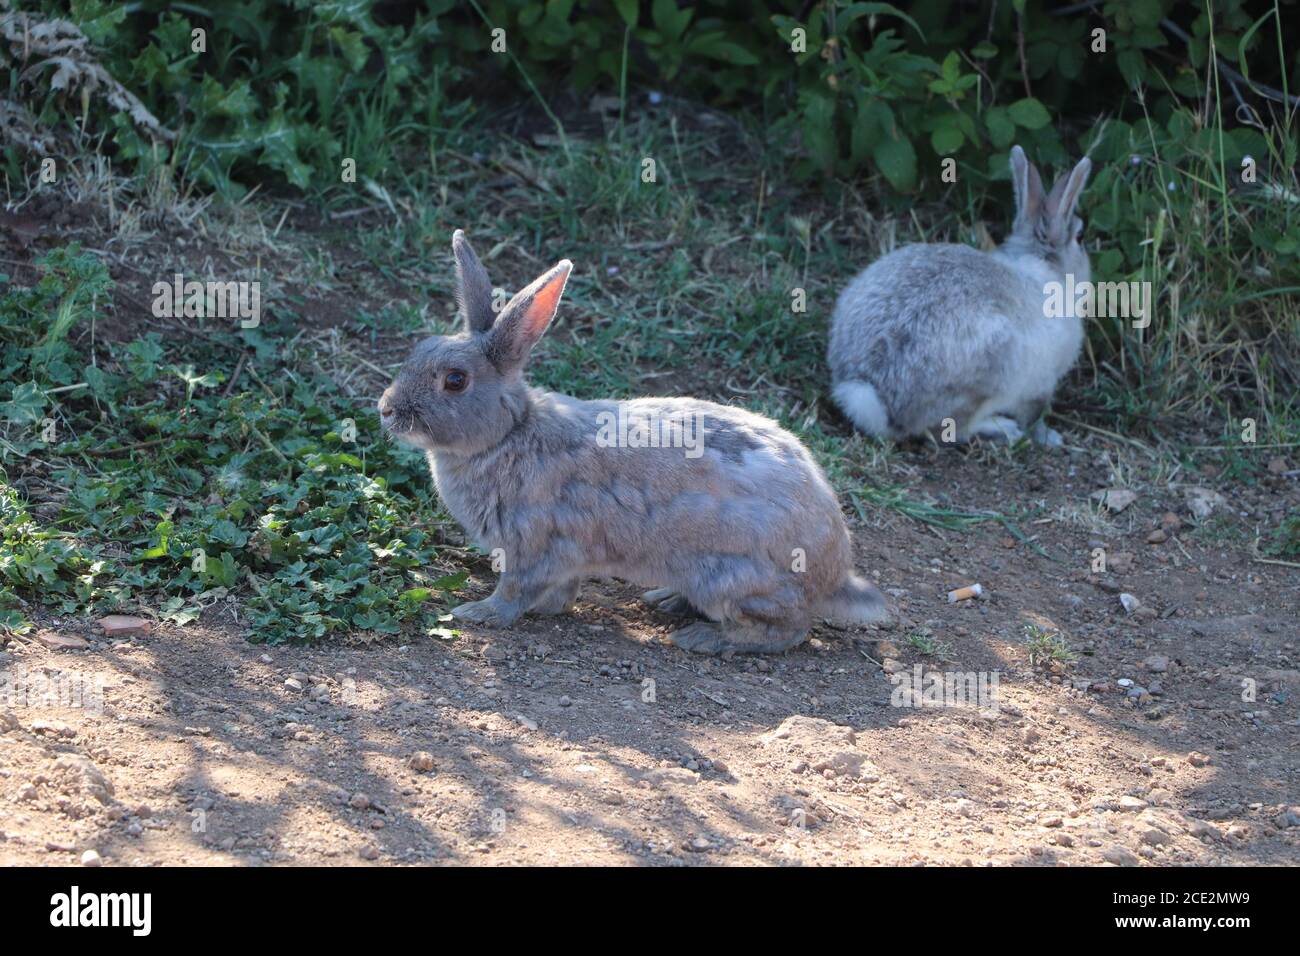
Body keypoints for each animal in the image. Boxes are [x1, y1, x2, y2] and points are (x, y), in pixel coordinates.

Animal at [378, 230, 891, 655]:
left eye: (455, 381)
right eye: (419, 349)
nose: (386, 410)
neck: (510, 433)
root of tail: (834, 573)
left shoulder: (534, 545)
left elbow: (514, 592)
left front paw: (477, 613)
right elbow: (560, 592)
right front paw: (546, 609)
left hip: (733, 578)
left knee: (787, 631)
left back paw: (703, 638)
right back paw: (667, 601)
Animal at [828, 145, 1092, 447]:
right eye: (1080, 237)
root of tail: (871, 391)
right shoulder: (1040, 384)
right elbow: (1034, 415)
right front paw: (1050, 438)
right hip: (993, 371)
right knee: (949, 429)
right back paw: (1001, 428)